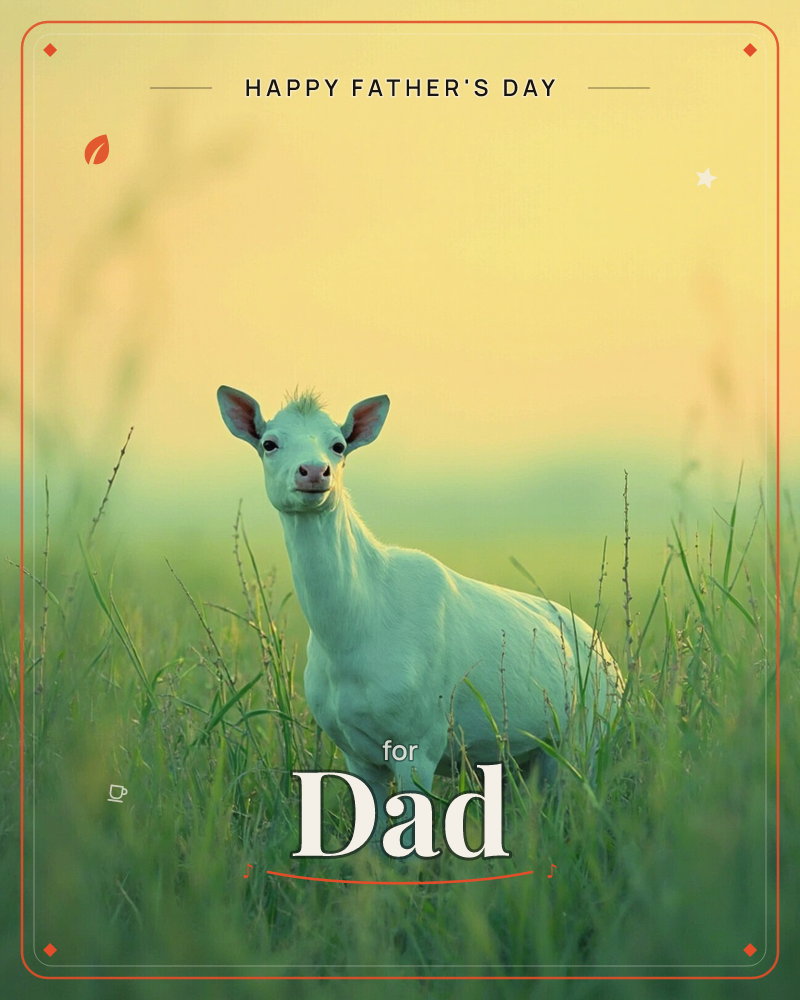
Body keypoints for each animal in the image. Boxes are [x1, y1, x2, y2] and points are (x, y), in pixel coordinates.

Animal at [217, 385, 623, 839]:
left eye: (339, 445)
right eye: (269, 443)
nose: (313, 472)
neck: (353, 636)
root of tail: (610, 659)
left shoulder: (420, 737)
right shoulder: (355, 749)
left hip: (587, 732)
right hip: (521, 756)